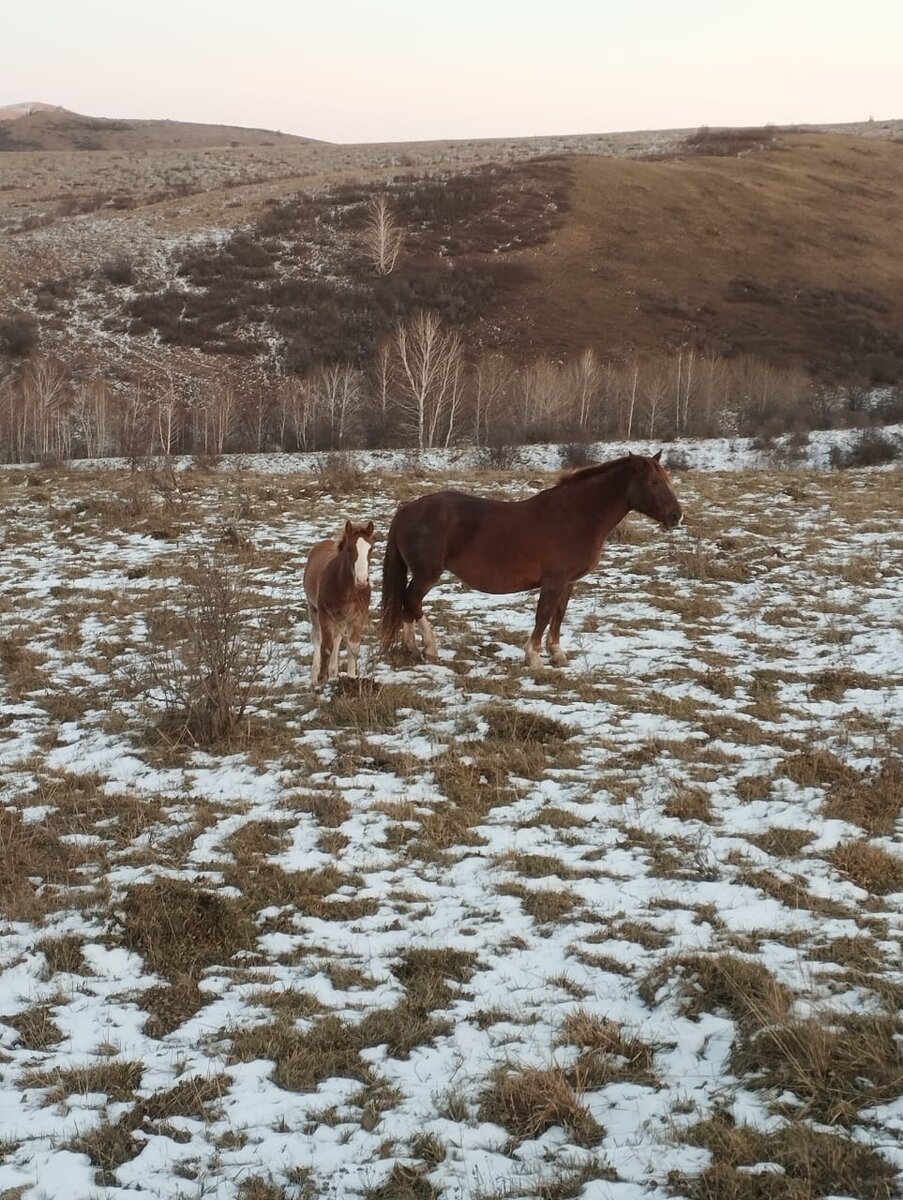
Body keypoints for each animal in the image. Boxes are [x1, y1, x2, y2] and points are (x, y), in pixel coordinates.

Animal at [303, 523, 374, 691]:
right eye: (349, 549)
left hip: (341, 618)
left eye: (370, 549)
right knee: (317, 637)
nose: (362, 580)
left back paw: (334, 673)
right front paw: (321, 679)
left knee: (337, 638)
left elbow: (352, 648)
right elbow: (326, 647)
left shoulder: (357, 617)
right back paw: (315, 676)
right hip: (313, 609)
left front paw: (351, 678)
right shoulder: (324, 615)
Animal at [377, 453, 682, 672]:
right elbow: (544, 615)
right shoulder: (554, 581)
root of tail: (407, 508)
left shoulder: (567, 583)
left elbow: (559, 615)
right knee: (411, 600)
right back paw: (430, 648)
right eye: (655, 482)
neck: (576, 516)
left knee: (408, 604)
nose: (676, 515)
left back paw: (412, 648)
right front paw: (534, 657)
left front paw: (557, 654)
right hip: (427, 573)